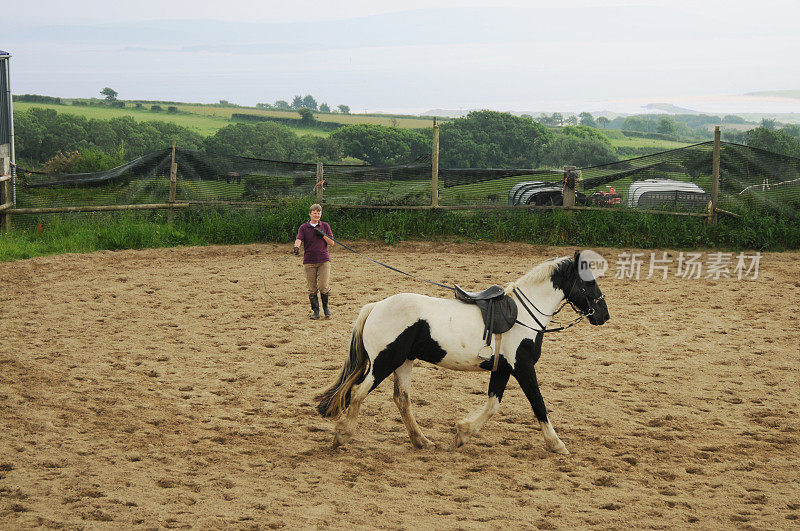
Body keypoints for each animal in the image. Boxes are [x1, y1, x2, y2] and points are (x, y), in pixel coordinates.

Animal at [316, 251, 608, 456]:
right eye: (589, 282)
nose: (603, 315)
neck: (524, 315)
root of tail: (375, 306)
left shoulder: (503, 369)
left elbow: (493, 405)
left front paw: (463, 433)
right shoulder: (522, 367)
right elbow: (538, 404)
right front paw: (556, 444)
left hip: (403, 362)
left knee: (402, 399)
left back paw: (422, 441)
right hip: (384, 363)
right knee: (358, 392)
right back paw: (342, 435)